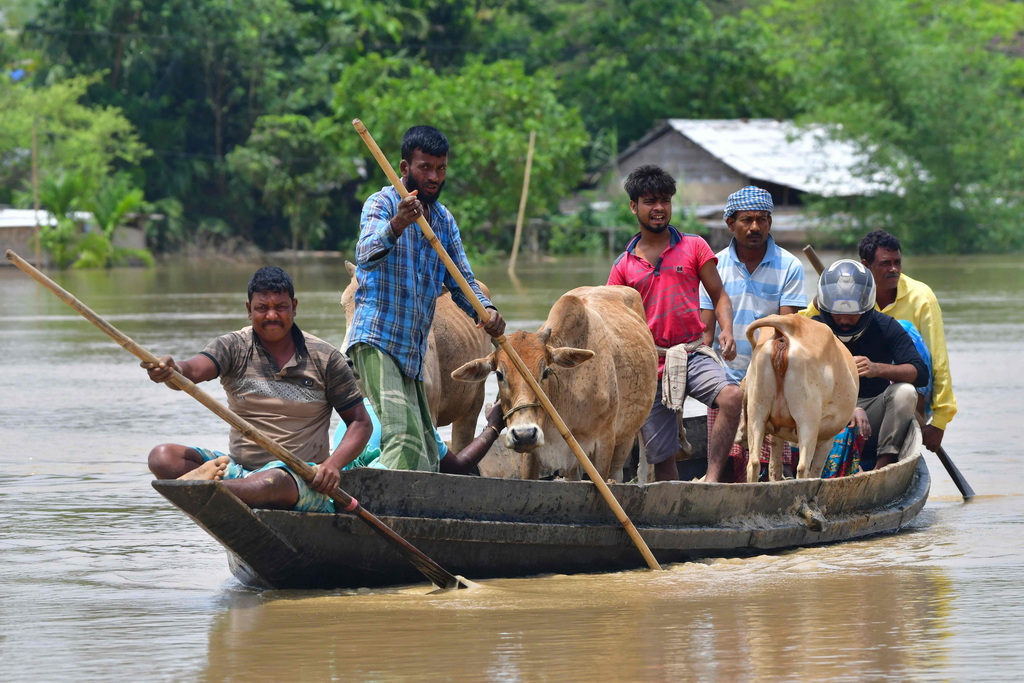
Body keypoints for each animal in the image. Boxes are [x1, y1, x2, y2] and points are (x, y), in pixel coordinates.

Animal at [452, 286, 659, 483]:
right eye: (499, 374)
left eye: (545, 372)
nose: (524, 433)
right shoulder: (532, 454)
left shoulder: (604, 443)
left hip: (627, 435)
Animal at [741, 313, 860, 481]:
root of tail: (790, 323)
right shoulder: (827, 438)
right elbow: (816, 470)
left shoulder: (777, 433)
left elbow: (774, 467)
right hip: (808, 419)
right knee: (803, 467)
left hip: (757, 411)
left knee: (754, 463)